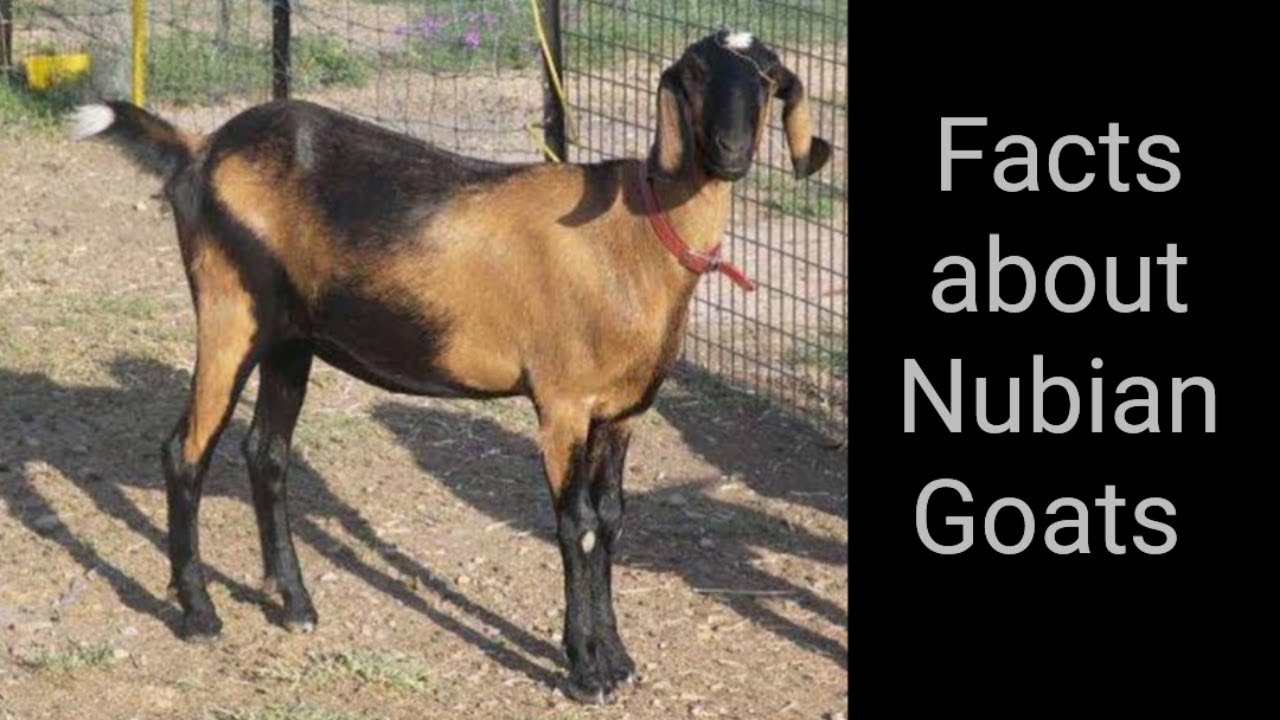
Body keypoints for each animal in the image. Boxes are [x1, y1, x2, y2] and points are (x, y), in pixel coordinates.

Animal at [70, 29, 831, 704]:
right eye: (695, 76)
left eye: (769, 79)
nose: (730, 152)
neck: (634, 232)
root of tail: (199, 149)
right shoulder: (562, 403)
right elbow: (577, 525)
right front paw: (585, 670)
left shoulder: (620, 412)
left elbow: (611, 521)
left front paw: (617, 659)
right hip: (231, 309)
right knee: (186, 451)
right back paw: (199, 613)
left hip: (291, 337)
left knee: (267, 454)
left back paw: (295, 605)